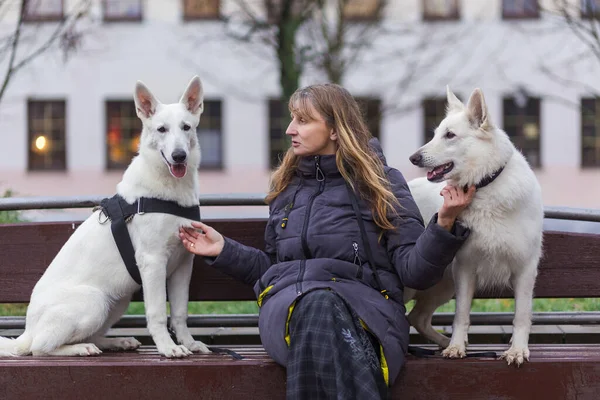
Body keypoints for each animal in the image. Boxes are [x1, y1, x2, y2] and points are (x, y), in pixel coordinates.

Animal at [0, 76, 211, 358]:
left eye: (186, 127)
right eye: (161, 129)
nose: (179, 156)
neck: (169, 190)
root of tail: (27, 331)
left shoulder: (183, 264)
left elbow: (179, 313)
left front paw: (188, 342)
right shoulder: (153, 262)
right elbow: (157, 314)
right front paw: (168, 347)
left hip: (118, 301)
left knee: (92, 335)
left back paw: (116, 342)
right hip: (94, 302)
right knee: (40, 348)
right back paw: (80, 348)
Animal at [404, 86, 544, 366]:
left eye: (449, 135)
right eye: (435, 134)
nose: (413, 158)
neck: (485, 185)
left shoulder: (524, 269)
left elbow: (521, 315)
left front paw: (517, 350)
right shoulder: (465, 269)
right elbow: (462, 315)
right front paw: (457, 347)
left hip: (442, 285)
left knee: (416, 317)